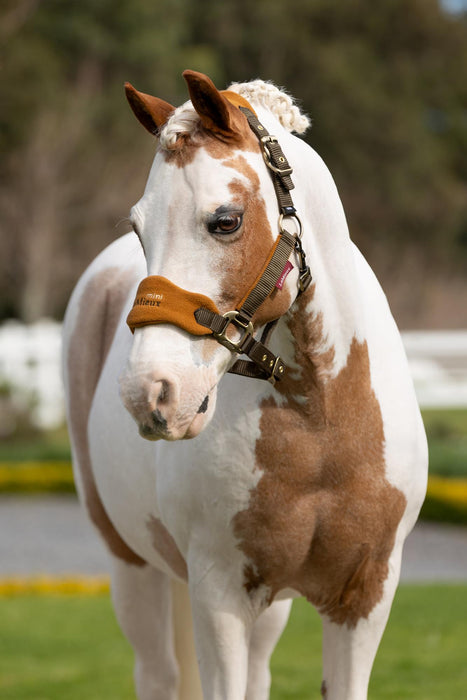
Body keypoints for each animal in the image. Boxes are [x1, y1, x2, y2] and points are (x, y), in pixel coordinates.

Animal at [64, 71, 430, 700]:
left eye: (226, 220)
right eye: (139, 228)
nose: (151, 393)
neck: (320, 419)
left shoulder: (363, 596)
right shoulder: (219, 595)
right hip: (132, 566)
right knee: (157, 674)